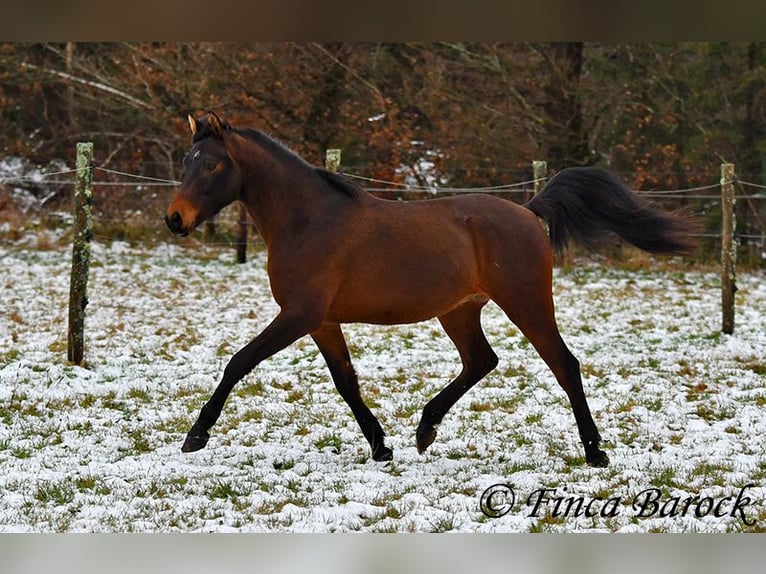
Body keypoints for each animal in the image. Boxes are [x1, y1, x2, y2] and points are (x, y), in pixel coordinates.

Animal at [165, 111, 700, 468]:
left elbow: (239, 362)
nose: (174, 219)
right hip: (459, 310)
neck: (309, 219)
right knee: (482, 360)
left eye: (211, 166)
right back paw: (426, 429)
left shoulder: (299, 315)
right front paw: (382, 447)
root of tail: (529, 211)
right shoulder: (322, 321)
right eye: (186, 161)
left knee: (563, 364)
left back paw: (595, 452)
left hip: (526, 301)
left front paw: (196, 435)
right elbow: (346, 382)